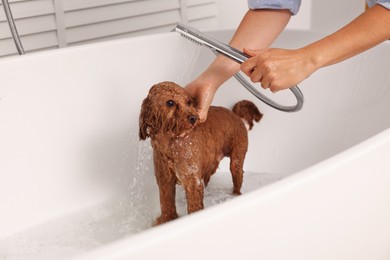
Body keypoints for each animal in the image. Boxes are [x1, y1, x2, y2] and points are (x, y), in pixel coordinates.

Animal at [138, 81, 262, 223]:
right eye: (170, 102)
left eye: (189, 102)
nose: (193, 118)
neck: (170, 147)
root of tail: (235, 115)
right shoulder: (164, 181)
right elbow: (167, 205)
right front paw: (167, 220)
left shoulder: (193, 183)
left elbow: (194, 208)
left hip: (236, 159)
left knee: (237, 177)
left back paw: (235, 195)